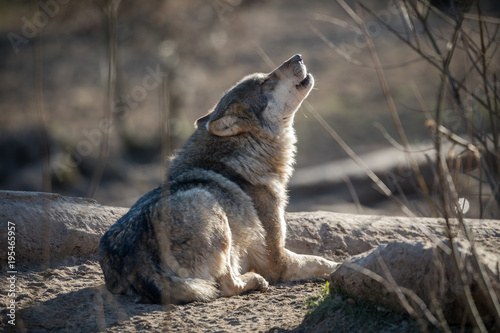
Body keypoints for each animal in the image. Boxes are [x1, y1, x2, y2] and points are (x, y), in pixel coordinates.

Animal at [97, 54, 340, 304]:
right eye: (265, 81)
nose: (298, 56)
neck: (244, 154)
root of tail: (136, 258)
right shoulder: (277, 260)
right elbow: (323, 261)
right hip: (209, 205)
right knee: (225, 285)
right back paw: (255, 280)